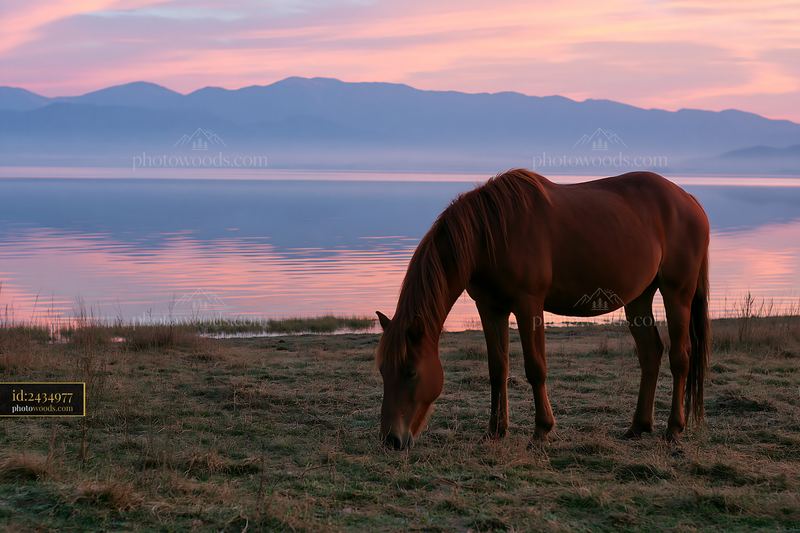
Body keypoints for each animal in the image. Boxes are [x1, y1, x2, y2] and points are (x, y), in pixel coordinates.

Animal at [375, 169, 710, 450]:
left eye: (410, 371)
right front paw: (495, 430)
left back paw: (673, 429)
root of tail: (689, 200)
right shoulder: (490, 308)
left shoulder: (529, 304)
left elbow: (535, 368)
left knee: (681, 357)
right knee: (651, 353)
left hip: (677, 293)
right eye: (382, 370)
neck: (492, 234)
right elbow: (497, 369)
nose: (391, 439)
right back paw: (638, 426)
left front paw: (541, 430)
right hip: (639, 298)